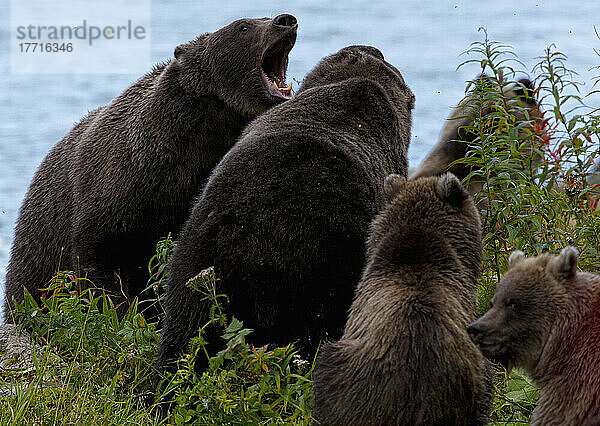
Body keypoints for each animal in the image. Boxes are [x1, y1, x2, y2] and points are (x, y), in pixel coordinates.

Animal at [2, 14, 298, 320]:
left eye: (262, 17)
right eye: (244, 26)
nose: (285, 20)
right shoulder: (119, 184)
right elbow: (100, 259)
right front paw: (120, 310)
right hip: (37, 246)